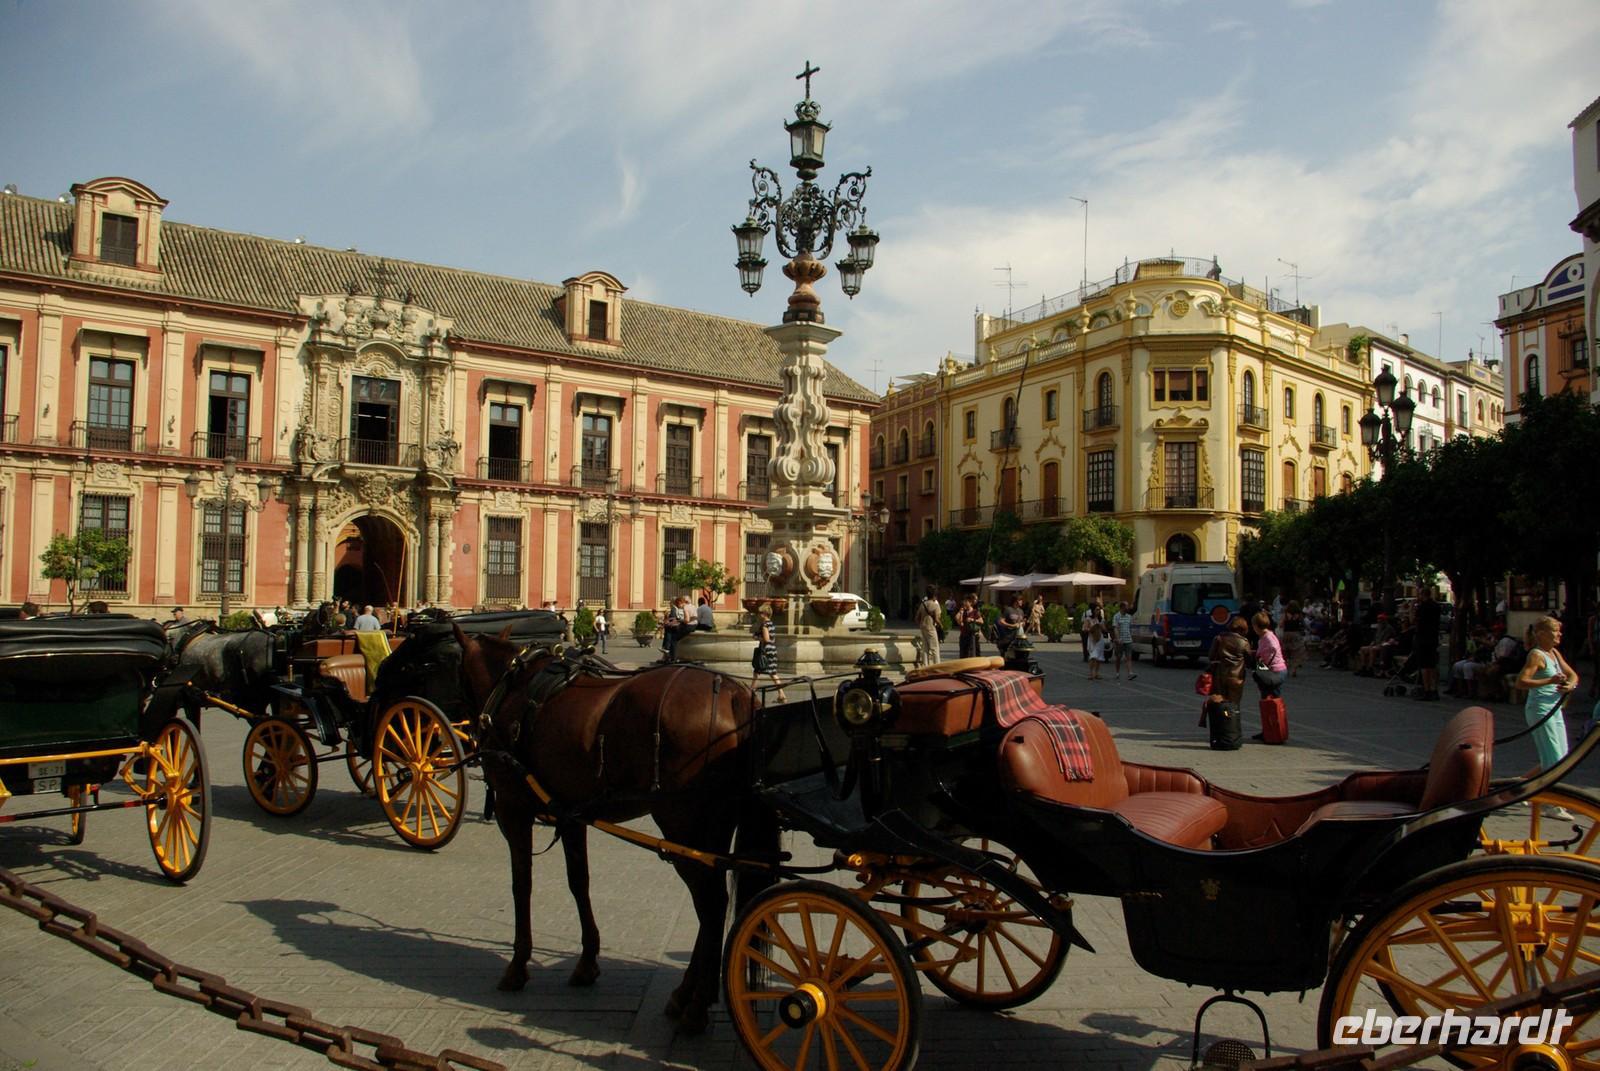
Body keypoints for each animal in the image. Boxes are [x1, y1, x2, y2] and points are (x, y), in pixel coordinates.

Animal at [455, 626, 778, 1034]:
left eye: (454, 671)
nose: (467, 735)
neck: (515, 687)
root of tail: (735, 693)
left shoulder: (512, 808)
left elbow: (521, 884)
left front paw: (517, 967)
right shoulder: (571, 813)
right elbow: (579, 881)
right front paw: (587, 961)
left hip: (684, 823)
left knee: (712, 903)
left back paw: (696, 1008)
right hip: (714, 826)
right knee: (710, 906)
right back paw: (684, 995)